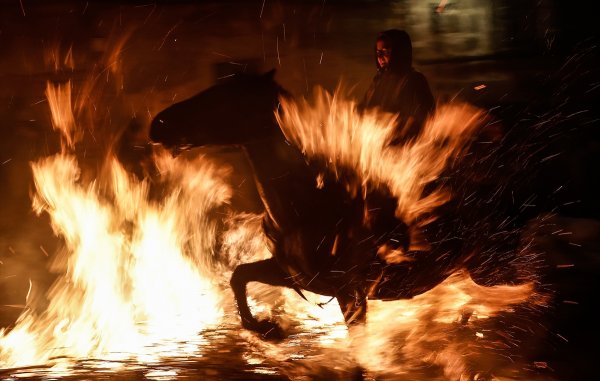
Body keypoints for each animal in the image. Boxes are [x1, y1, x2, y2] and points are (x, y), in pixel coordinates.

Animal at [149, 70, 520, 336]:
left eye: (224, 99)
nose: (159, 124)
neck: (307, 204)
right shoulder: (294, 274)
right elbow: (239, 276)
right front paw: (263, 327)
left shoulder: (350, 292)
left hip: (494, 266)